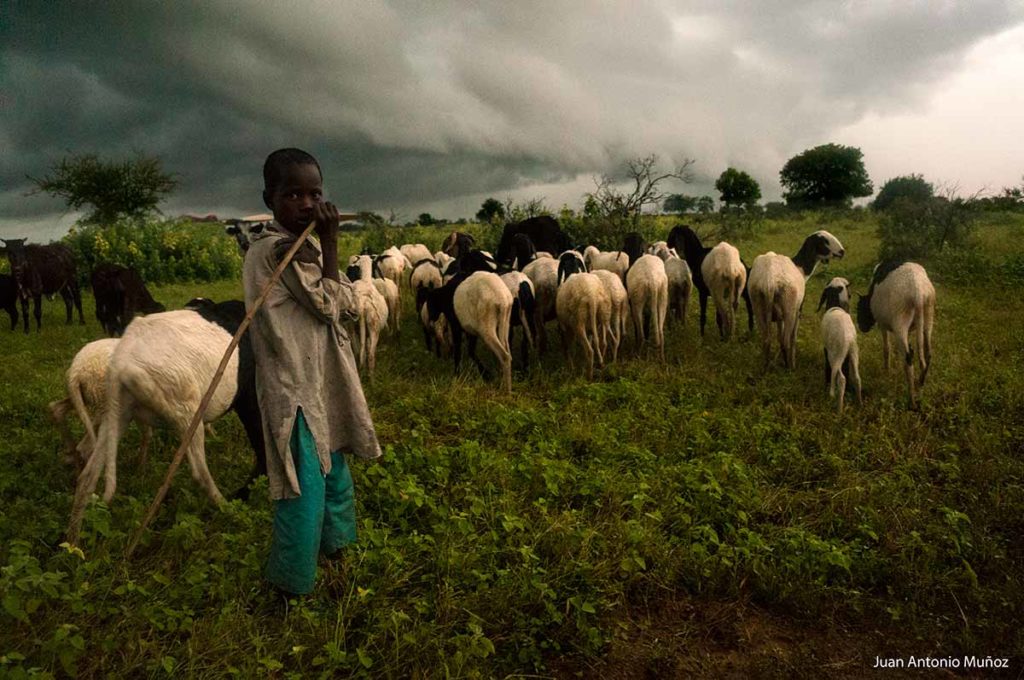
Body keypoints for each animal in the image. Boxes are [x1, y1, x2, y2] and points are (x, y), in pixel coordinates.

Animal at [749, 228, 843, 368]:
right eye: (824, 240)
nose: (842, 252)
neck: (801, 268)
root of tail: (769, 282)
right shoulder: (798, 310)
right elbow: (793, 338)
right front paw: (792, 361)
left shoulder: (779, 315)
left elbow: (779, 335)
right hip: (789, 307)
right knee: (786, 341)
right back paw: (789, 368)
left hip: (758, 306)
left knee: (766, 340)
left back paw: (765, 367)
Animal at [819, 278, 860, 413]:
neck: (835, 305)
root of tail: (847, 339)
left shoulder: (826, 349)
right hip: (853, 353)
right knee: (857, 378)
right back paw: (860, 403)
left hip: (835, 356)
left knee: (841, 379)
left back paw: (839, 410)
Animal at [856, 260, 937, 409]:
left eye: (859, 308)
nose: (862, 327)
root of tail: (918, 291)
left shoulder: (882, 324)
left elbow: (886, 348)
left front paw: (886, 371)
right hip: (928, 316)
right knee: (927, 354)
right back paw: (920, 384)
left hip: (900, 323)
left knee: (908, 360)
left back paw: (912, 401)